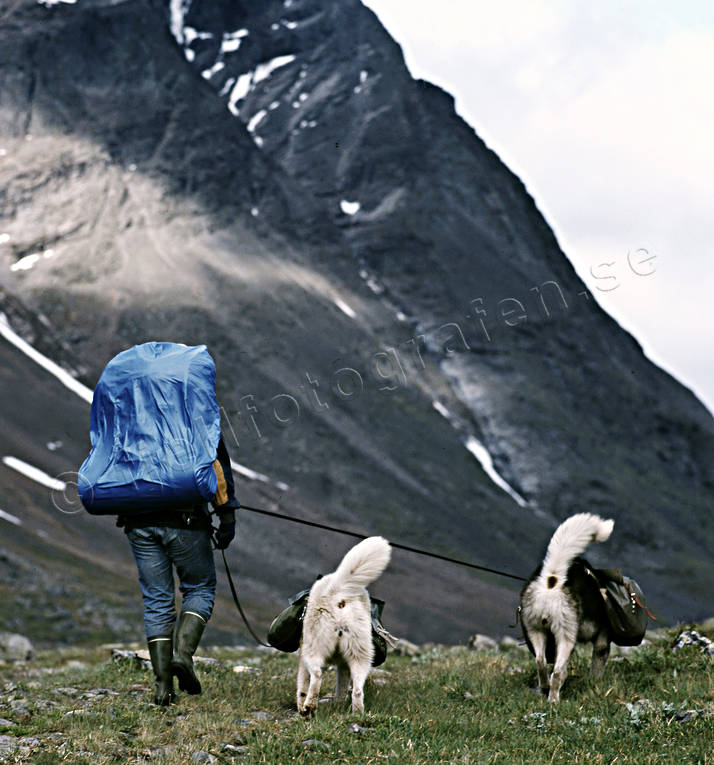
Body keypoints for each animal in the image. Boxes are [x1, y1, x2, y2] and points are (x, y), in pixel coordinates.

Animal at [298, 536, 392, 712]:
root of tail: (337, 592)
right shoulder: (343, 664)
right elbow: (341, 686)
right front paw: (338, 703)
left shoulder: (303, 656)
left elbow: (302, 685)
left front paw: (301, 706)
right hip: (360, 653)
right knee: (357, 690)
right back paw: (357, 713)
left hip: (314, 647)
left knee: (317, 675)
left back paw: (309, 707)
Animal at [516, 510, 612, 700]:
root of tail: (552, 579)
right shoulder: (601, 639)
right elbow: (598, 659)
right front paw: (594, 682)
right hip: (565, 634)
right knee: (558, 670)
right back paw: (554, 699)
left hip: (535, 629)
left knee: (541, 662)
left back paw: (545, 687)